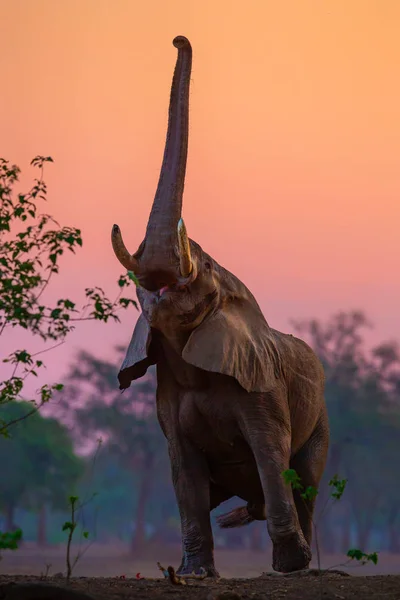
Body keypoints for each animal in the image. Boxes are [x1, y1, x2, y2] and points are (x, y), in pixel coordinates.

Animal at [111, 34, 330, 576]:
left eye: (201, 267)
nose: (179, 37)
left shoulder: (262, 384)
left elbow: (270, 452)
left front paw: (289, 565)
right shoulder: (167, 397)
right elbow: (182, 469)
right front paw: (194, 573)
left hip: (322, 419)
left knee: (306, 479)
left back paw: (302, 564)